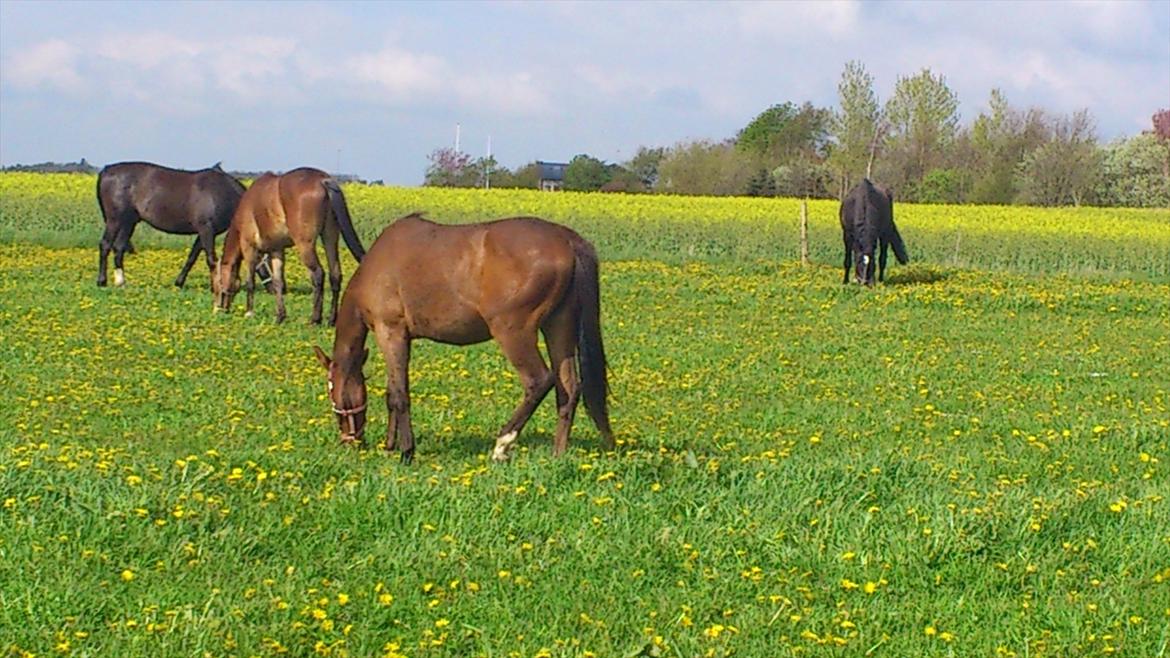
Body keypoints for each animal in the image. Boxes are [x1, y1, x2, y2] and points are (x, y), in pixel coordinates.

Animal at [97, 160, 251, 285]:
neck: (222, 193)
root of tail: (106, 170)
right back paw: (102, 281)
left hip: (128, 222)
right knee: (105, 245)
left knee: (119, 247)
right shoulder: (206, 229)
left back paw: (120, 282)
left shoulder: (204, 233)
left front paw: (179, 282)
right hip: (114, 220)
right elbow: (211, 259)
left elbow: (192, 257)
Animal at [212, 166, 362, 323]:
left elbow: (250, 281)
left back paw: (315, 319)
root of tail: (323, 180)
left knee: (318, 274)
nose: (217, 309)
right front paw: (280, 315)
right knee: (335, 274)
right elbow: (278, 281)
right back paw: (332, 319)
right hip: (330, 236)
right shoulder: (277, 250)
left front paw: (249, 312)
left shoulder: (249, 248)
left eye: (217, 284)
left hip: (305, 245)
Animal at [311, 214, 622, 461]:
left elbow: (399, 393)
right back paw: (558, 454)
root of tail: (567, 240)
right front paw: (391, 444)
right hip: (559, 327)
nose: (349, 440)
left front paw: (406, 451)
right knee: (568, 388)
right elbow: (391, 392)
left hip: (513, 332)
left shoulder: (391, 332)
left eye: (331, 389)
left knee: (540, 381)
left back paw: (503, 444)